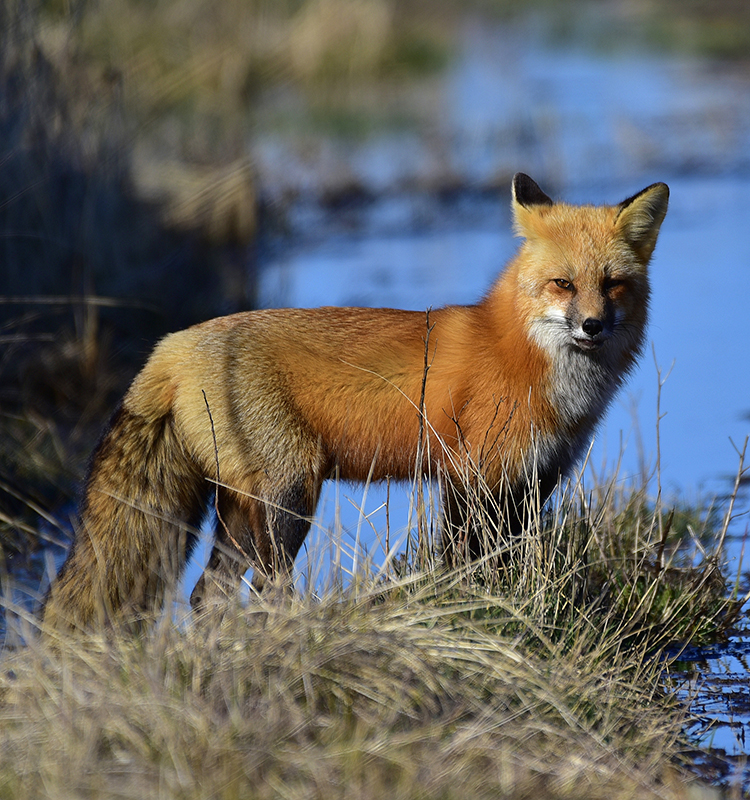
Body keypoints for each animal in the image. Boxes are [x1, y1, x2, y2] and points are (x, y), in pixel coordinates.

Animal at [42, 174, 669, 631]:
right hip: (288, 499)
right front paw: (471, 617)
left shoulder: (533, 482)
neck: (521, 353)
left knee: (207, 596)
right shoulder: (471, 478)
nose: (592, 325)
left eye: (612, 284)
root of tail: (170, 346)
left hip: (241, 512)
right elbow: (464, 568)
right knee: (263, 592)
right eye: (563, 284)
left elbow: (508, 565)